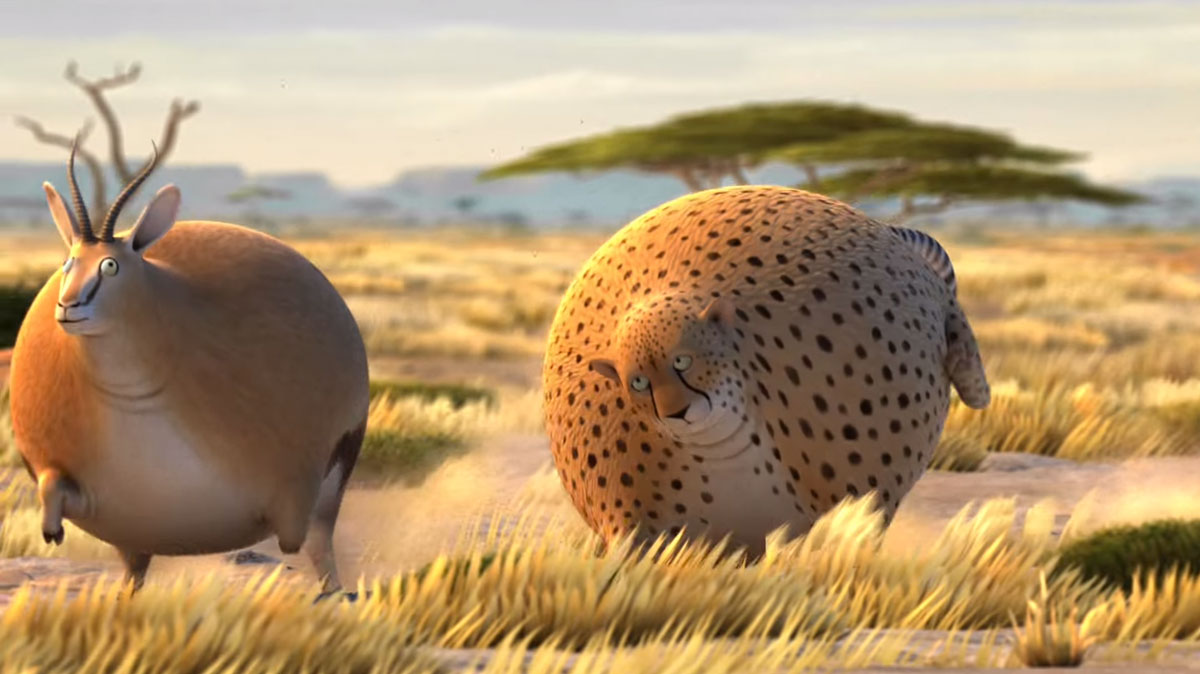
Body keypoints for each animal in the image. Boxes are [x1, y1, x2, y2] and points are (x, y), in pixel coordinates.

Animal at [7, 143, 369, 593]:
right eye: (69, 262)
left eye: (110, 265)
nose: (68, 306)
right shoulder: (91, 496)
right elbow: (52, 488)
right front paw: (52, 530)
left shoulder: (295, 479)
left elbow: (291, 533)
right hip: (134, 536)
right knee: (133, 573)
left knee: (320, 550)